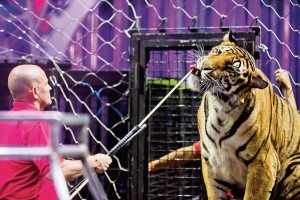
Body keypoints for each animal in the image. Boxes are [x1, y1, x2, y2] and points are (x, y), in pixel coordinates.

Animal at [188, 31, 300, 200]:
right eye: (217, 52)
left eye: (230, 69)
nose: (205, 67)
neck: (220, 108)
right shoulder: (211, 165)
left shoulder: (263, 162)